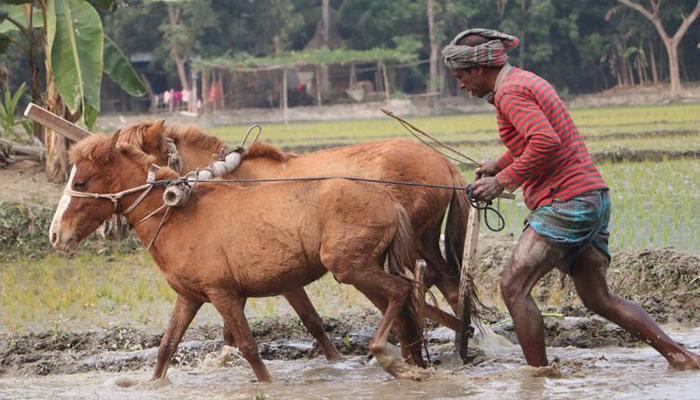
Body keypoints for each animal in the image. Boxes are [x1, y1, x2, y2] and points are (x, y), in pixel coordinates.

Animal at [49, 134, 426, 382]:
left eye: (81, 182)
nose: (56, 235)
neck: (177, 214)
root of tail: (387, 198)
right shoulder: (190, 296)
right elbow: (166, 348)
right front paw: (155, 384)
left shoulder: (224, 294)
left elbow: (248, 347)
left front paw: (268, 385)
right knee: (406, 313)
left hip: (350, 267)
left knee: (401, 292)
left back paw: (387, 357)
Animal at [117, 120, 470, 314]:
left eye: (139, 156)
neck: (231, 177)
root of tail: (444, 163)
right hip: (424, 240)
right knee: (449, 284)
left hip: (409, 244)